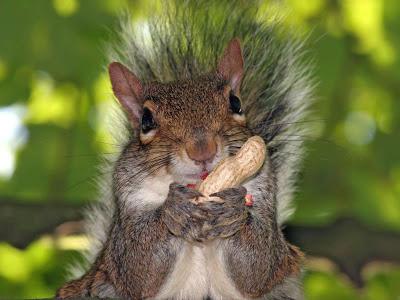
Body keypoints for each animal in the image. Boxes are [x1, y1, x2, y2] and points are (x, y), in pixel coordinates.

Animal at [56, 1, 314, 298]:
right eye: (146, 120)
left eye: (236, 103)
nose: (203, 151)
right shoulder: (127, 209)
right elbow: (137, 264)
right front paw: (173, 209)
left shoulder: (262, 191)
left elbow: (258, 266)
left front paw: (233, 208)